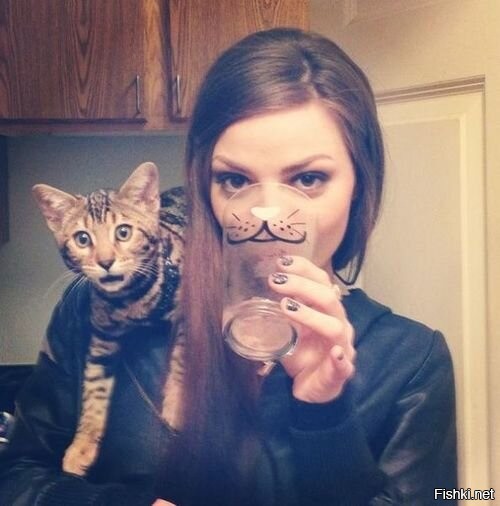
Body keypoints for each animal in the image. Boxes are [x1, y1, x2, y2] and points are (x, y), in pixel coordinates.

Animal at [32, 162, 185, 476]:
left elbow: (182, 356)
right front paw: (82, 446)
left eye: (123, 232)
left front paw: (176, 405)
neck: (131, 300)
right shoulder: (102, 340)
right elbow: (93, 392)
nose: (105, 262)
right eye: (82, 239)